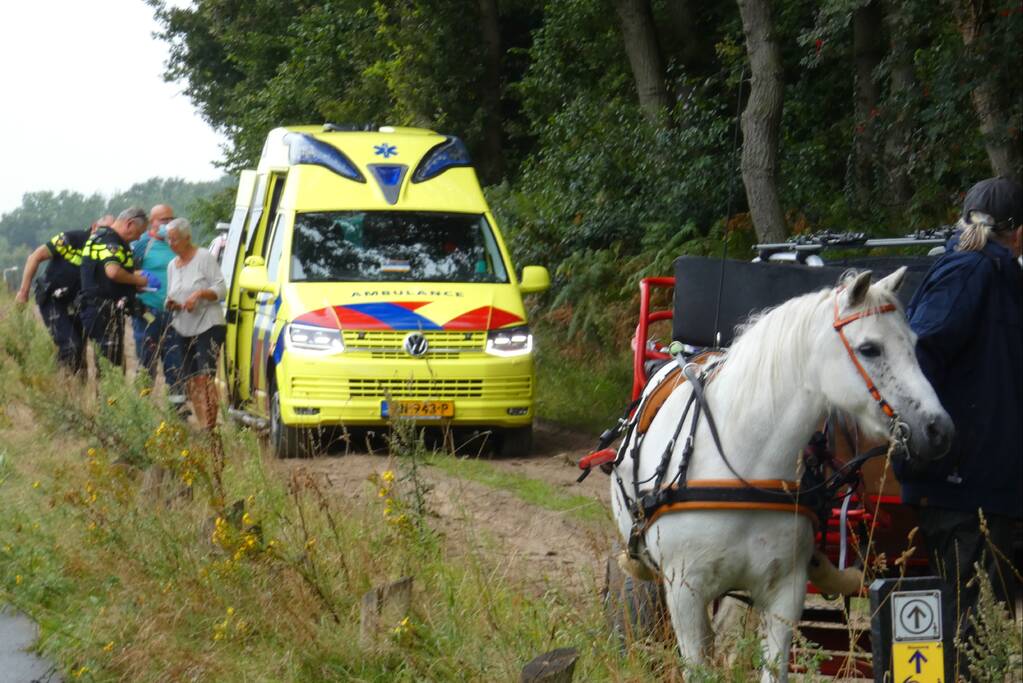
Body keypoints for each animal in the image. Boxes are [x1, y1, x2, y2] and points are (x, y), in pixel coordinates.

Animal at [609, 268, 953, 681]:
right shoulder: (684, 591)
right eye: (870, 348)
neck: (742, 468)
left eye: (915, 344)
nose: (938, 429)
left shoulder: (785, 593)